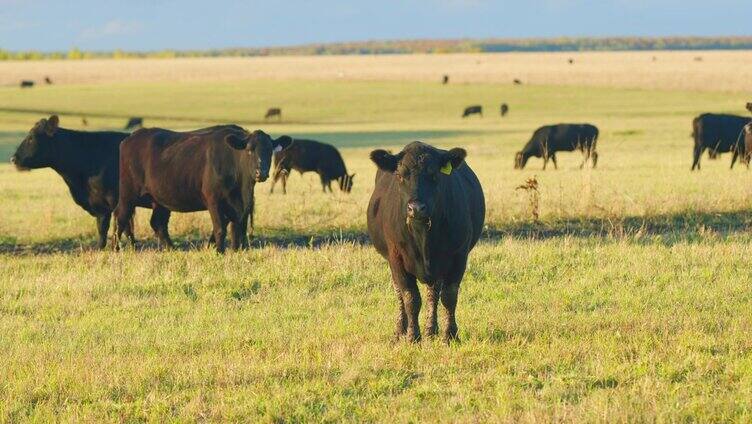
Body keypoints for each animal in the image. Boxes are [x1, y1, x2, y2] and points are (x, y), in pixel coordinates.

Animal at [9, 115, 128, 248]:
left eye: (31, 138)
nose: (13, 159)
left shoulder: (116, 199)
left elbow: (122, 226)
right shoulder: (99, 205)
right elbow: (102, 227)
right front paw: (99, 247)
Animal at [114, 125, 290, 252]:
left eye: (270, 151)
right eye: (249, 150)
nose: (261, 172)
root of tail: (130, 138)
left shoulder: (242, 206)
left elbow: (237, 229)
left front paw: (236, 251)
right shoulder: (214, 201)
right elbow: (220, 229)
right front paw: (219, 252)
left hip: (160, 200)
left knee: (158, 223)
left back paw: (172, 249)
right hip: (127, 195)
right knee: (120, 218)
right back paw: (116, 249)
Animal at [368, 142, 484, 344]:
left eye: (434, 175)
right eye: (400, 175)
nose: (416, 208)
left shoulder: (459, 256)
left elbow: (449, 296)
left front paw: (450, 335)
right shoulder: (396, 258)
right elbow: (410, 298)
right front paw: (412, 336)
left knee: (433, 293)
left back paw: (431, 330)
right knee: (400, 293)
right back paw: (400, 331)